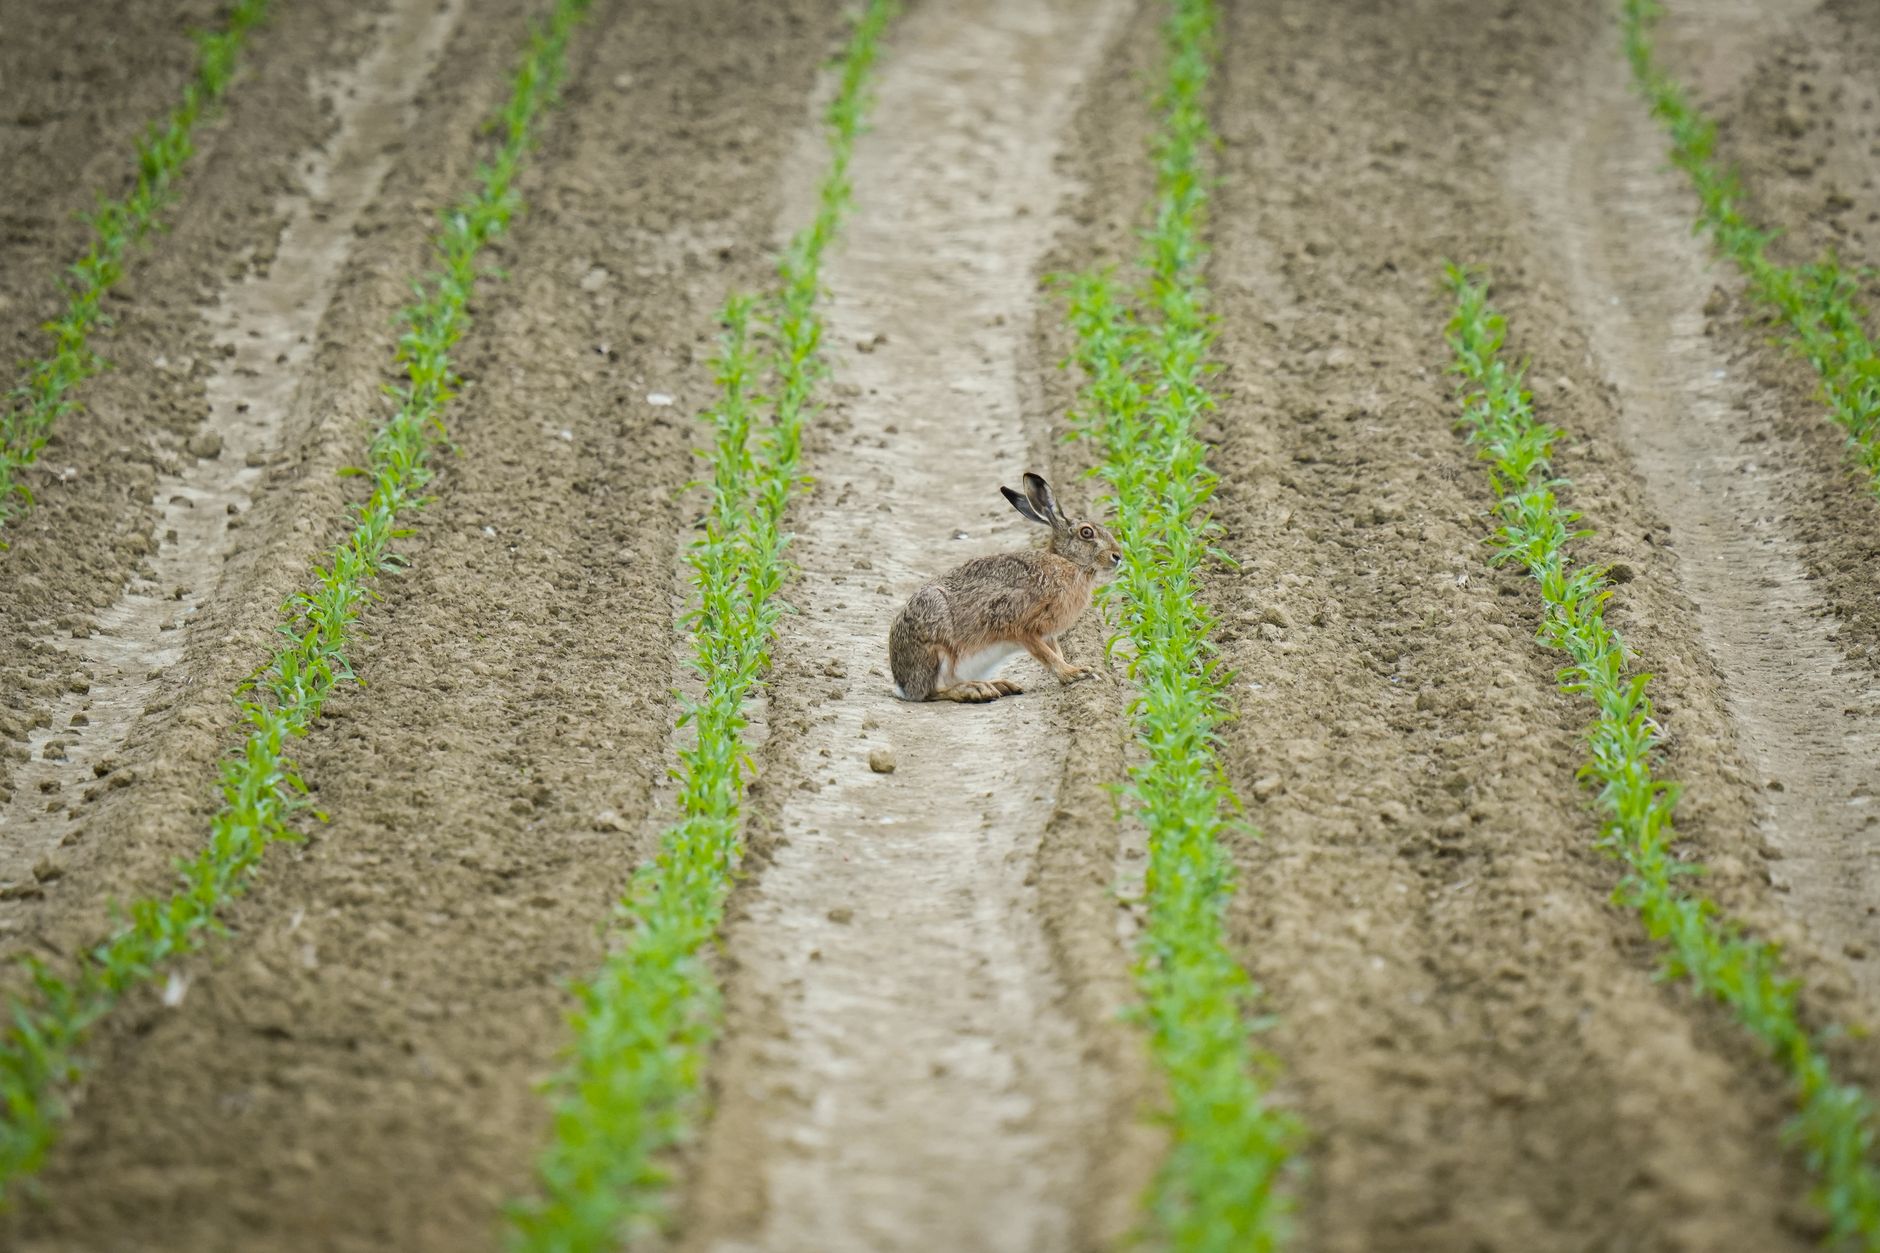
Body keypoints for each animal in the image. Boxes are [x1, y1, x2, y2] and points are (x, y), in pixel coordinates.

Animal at [889, 472, 1123, 703]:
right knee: (933, 691)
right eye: (1087, 533)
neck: (1068, 562)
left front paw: (1072, 669)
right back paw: (975, 690)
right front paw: (1076, 673)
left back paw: (998, 685)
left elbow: (1056, 652)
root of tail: (902, 684)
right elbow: (1047, 655)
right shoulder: (1020, 626)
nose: (1118, 556)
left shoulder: (1048, 634)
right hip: (937, 644)